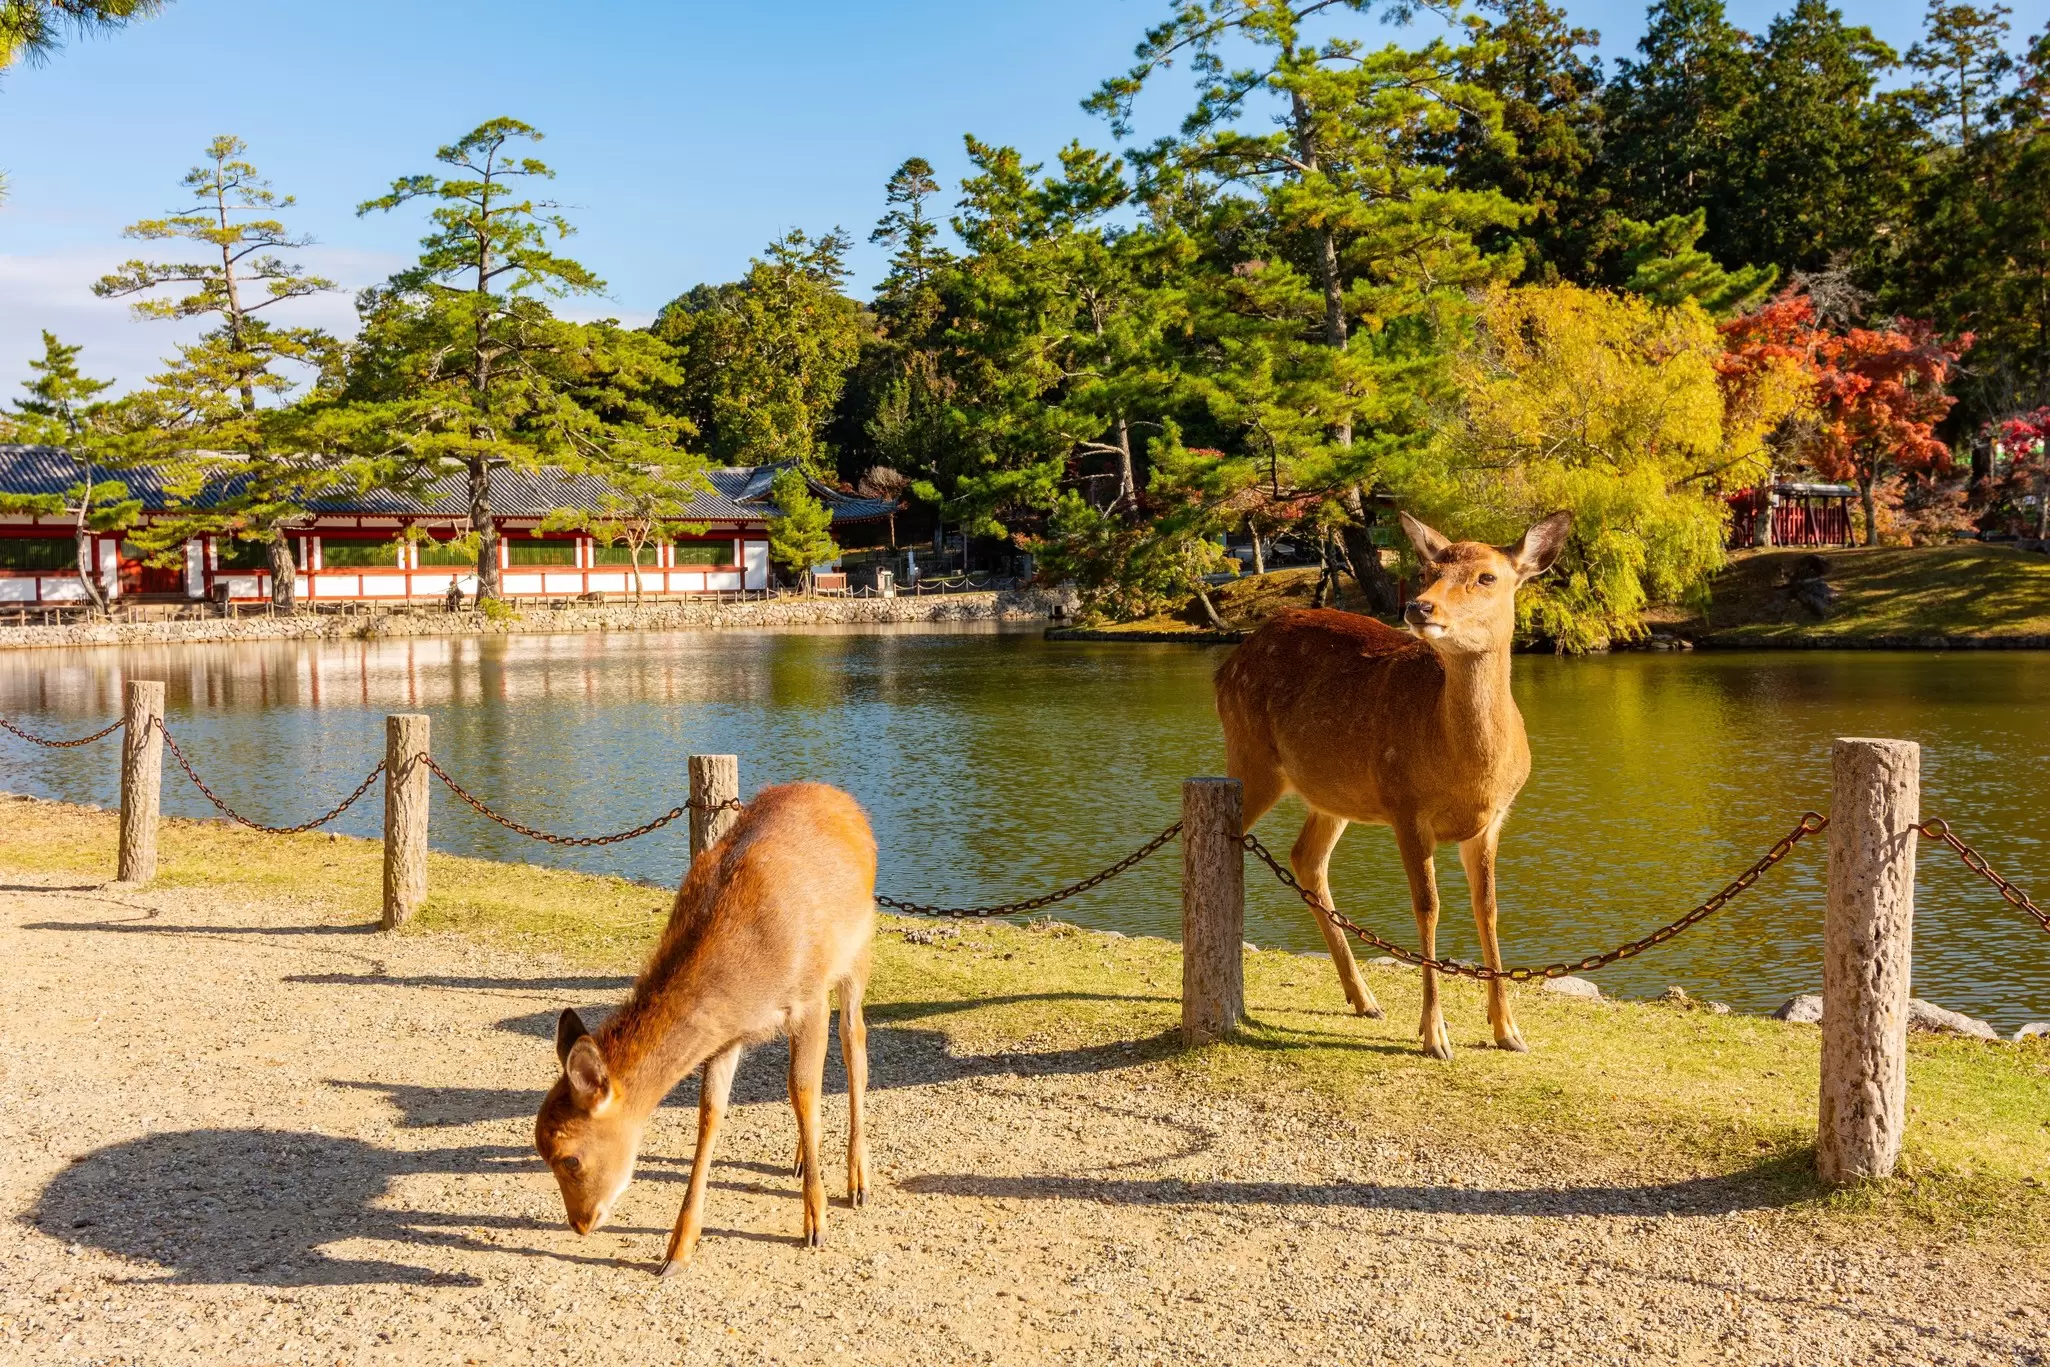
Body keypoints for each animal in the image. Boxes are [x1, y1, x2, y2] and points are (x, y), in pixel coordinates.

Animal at [534, 781, 876, 1276]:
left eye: (571, 1158)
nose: (581, 1224)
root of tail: (842, 798)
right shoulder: (727, 1036)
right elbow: (711, 1113)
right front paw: (677, 1251)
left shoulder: (809, 998)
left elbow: (802, 1088)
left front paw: (816, 1224)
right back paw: (798, 1160)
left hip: (859, 947)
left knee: (854, 1044)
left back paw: (858, 1182)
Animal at [1214, 510, 1571, 1060]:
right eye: (1428, 572)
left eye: (1487, 577)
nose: (1418, 606)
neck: (1470, 772)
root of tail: (1224, 667)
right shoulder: (1406, 806)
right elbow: (1428, 908)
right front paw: (1435, 1035)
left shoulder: (1493, 820)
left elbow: (1487, 909)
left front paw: (1509, 1031)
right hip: (1250, 757)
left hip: (1331, 793)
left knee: (1305, 857)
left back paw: (1364, 999)